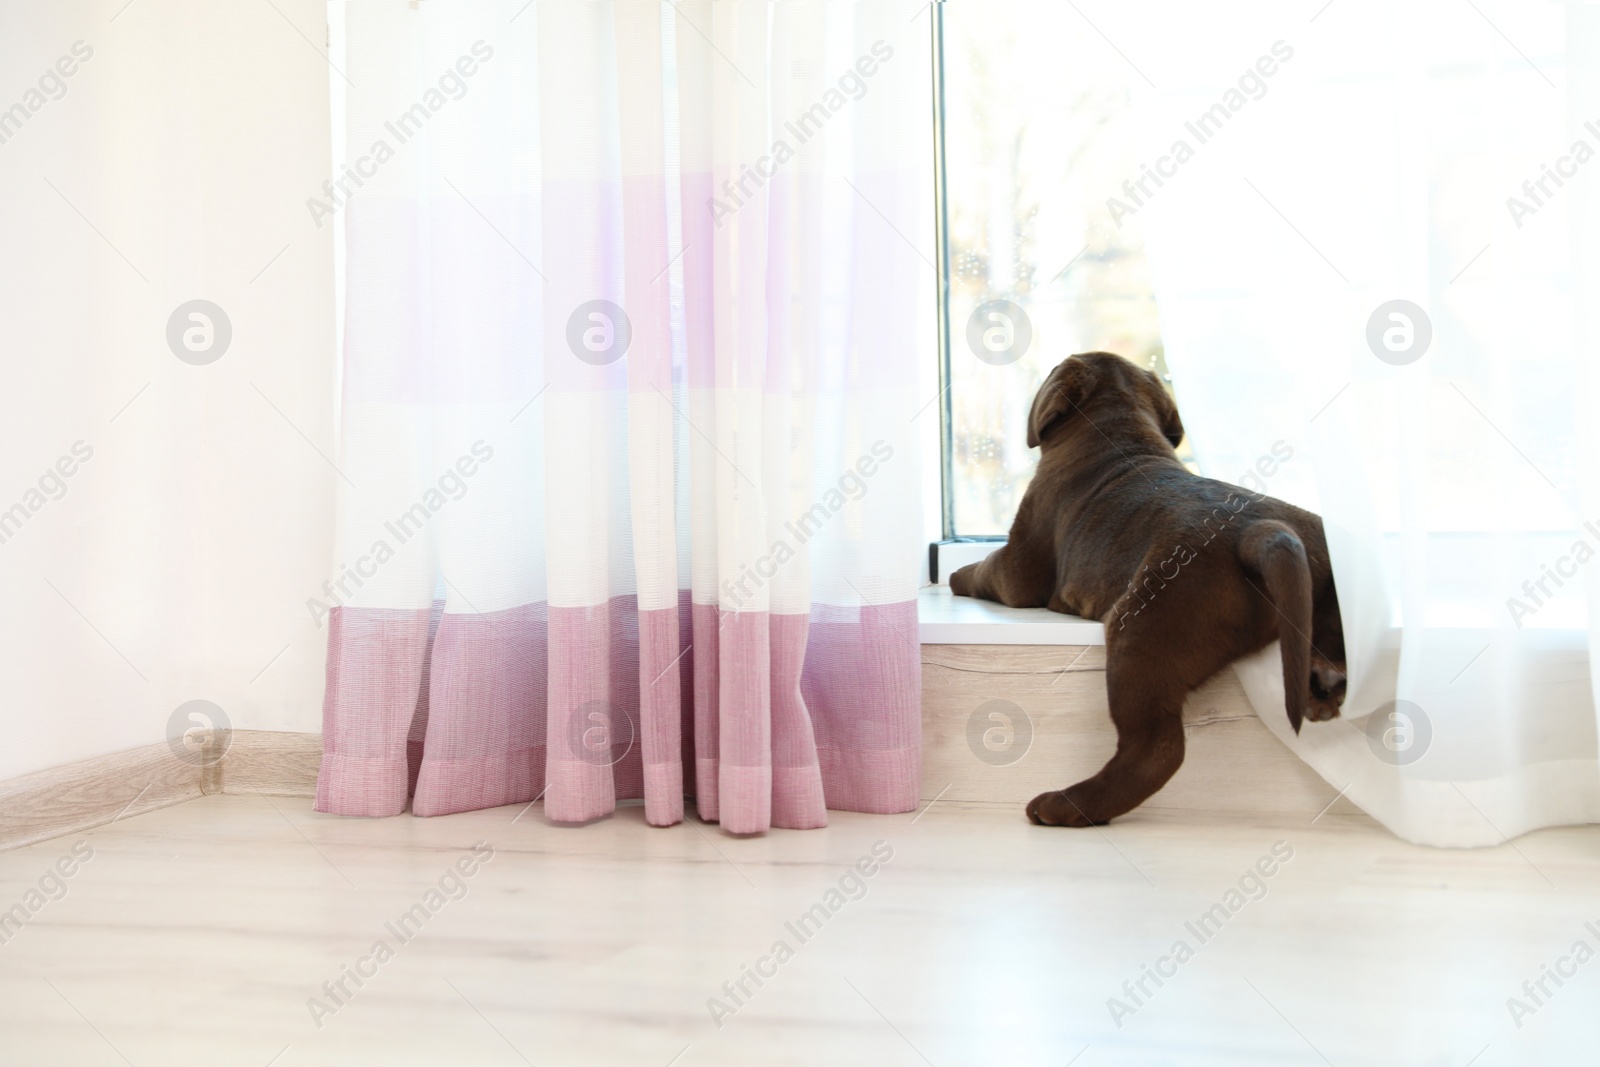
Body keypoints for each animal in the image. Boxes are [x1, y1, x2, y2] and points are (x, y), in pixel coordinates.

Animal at [953, 355, 1344, 831]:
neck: (1120, 430)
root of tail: (1260, 532)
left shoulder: (1017, 566)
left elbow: (982, 569)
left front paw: (954, 575)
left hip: (1141, 631)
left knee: (1156, 749)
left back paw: (1065, 805)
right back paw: (1322, 689)